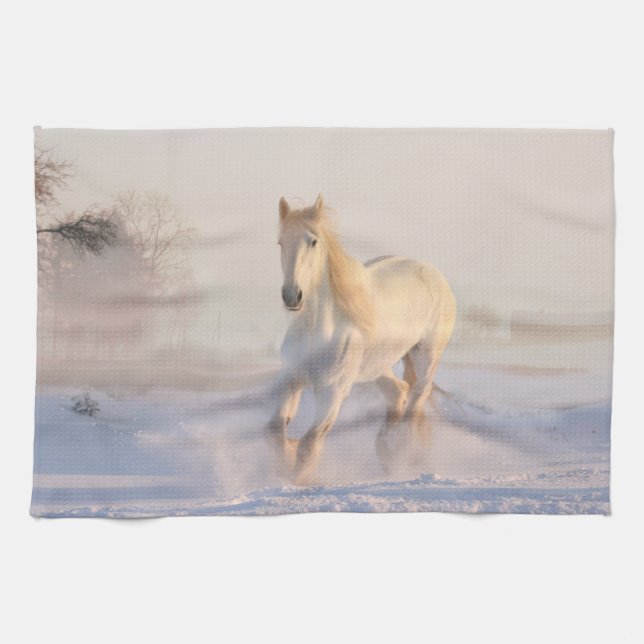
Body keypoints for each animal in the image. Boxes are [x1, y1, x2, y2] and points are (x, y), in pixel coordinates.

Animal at [266, 194, 457, 483]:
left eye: (313, 241)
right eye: (281, 242)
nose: (292, 296)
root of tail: (432, 273)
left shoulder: (333, 391)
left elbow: (309, 443)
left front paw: (296, 480)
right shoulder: (292, 379)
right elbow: (277, 431)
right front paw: (285, 463)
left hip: (426, 356)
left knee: (415, 402)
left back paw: (402, 457)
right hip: (377, 366)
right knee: (398, 393)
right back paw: (387, 454)